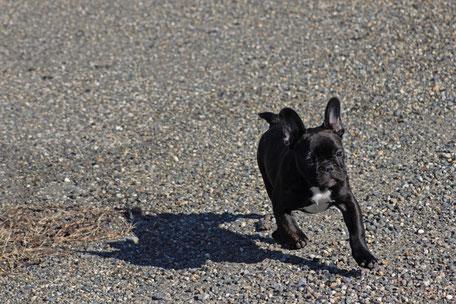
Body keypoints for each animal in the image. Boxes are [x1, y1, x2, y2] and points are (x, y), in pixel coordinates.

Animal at [256, 97, 378, 268]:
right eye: (309, 160)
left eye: (339, 153)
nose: (328, 167)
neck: (318, 187)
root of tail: (276, 123)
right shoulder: (279, 202)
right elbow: (286, 221)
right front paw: (298, 236)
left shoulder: (348, 202)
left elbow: (357, 230)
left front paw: (364, 254)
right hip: (266, 180)